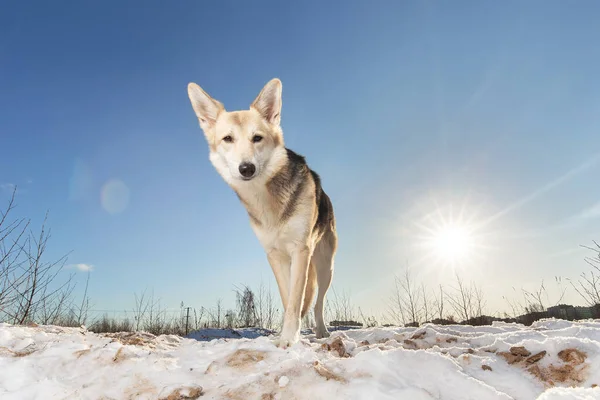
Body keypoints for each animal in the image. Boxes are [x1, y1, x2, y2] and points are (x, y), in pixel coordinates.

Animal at [188, 78, 338, 346]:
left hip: (324, 267)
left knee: (318, 303)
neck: (266, 201)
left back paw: (321, 331)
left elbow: (296, 302)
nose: (246, 168)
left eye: (257, 138)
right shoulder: (275, 256)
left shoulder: (300, 251)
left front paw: (289, 340)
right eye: (227, 139)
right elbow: (289, 299)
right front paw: (287, 335)